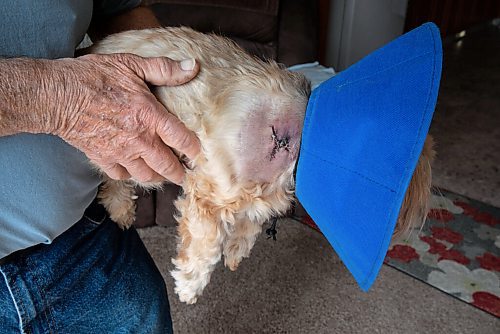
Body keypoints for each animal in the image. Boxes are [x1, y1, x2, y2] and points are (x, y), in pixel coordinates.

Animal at [90, 27, 434, 304]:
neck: (295, 138)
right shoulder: (208, 190)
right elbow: (207, 244)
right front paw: (189, 284)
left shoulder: (254, 196)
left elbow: (251, 221)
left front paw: (236, 250)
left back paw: (121, 209)